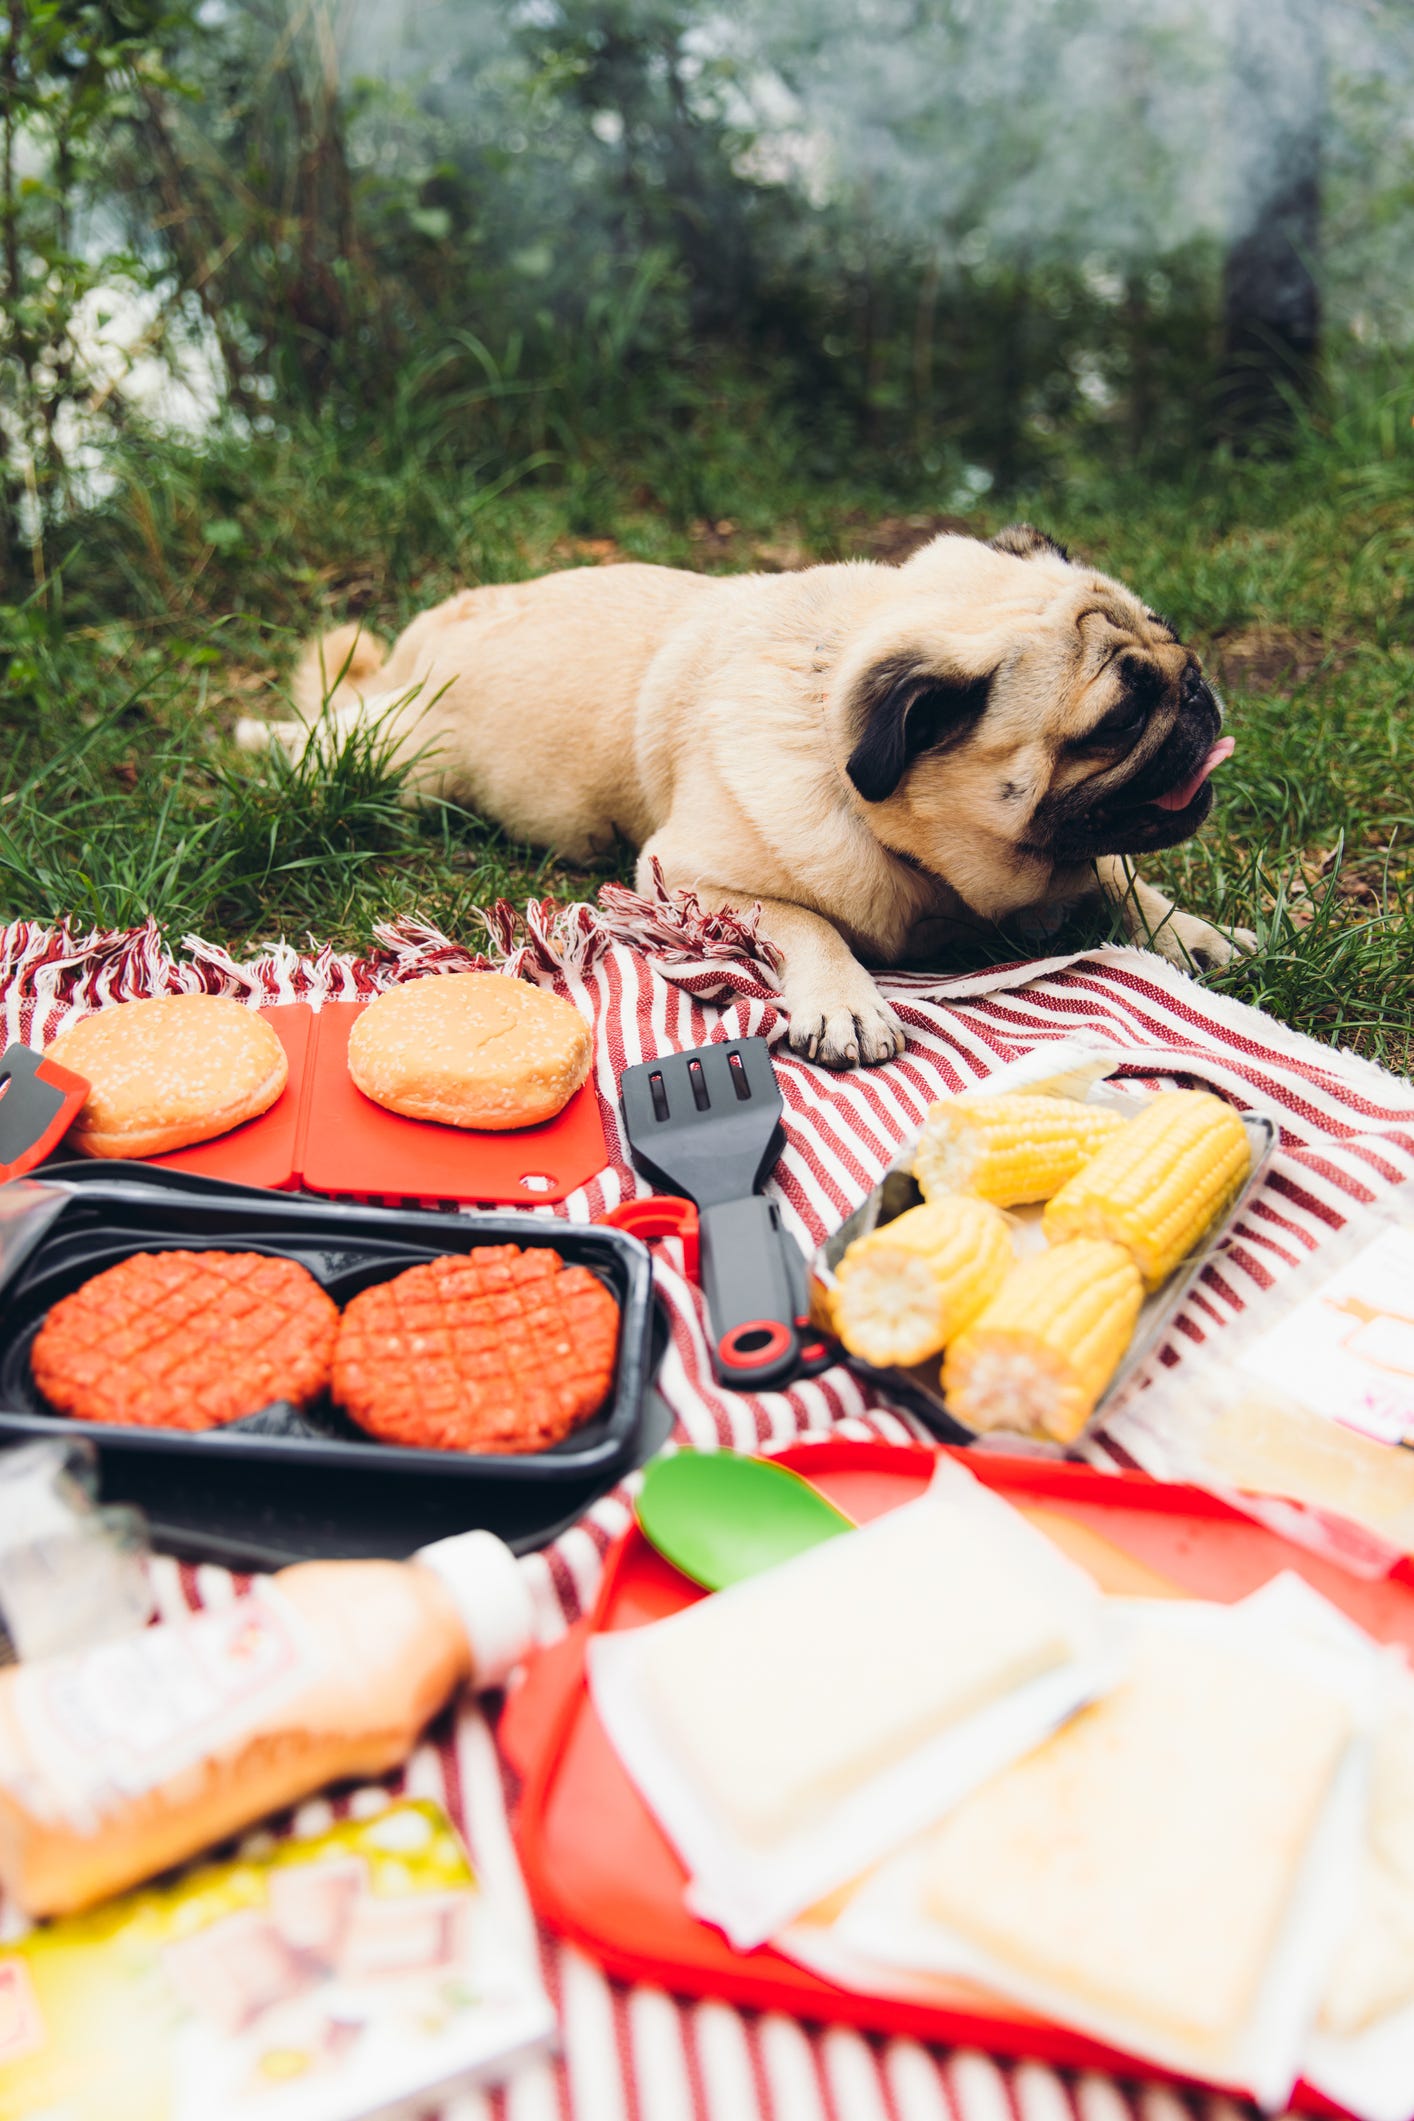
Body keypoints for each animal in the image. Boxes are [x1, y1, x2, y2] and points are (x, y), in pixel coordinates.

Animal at [237, 523, 1255, 1068]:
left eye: (1171, 636)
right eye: (1118, 718)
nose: (1197, 688)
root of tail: (425, 641)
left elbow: (1119, 873)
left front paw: (1190, 934)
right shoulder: (677, 875)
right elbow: (806, 922)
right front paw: (846, 1003)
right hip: (401, 761)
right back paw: (261, 741)